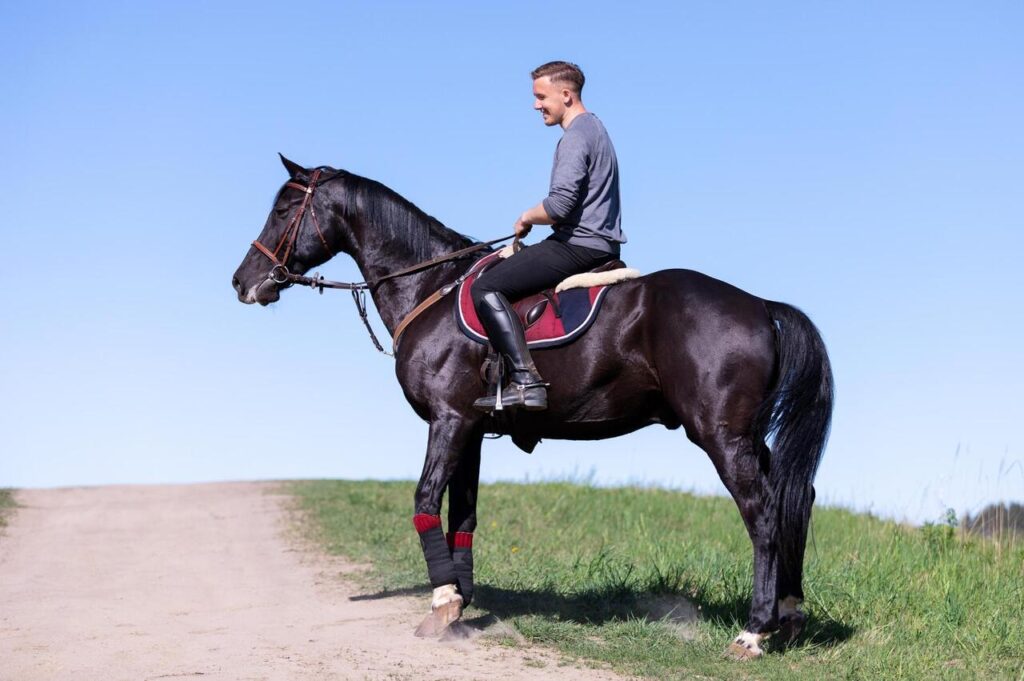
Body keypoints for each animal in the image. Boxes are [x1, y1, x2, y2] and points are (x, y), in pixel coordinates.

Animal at [231, 155, 834, 660]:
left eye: (283, 207)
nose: (243, 282)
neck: (430, 285)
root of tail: (759, 306)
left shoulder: (448, 421)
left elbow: (425, 500)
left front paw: (440, 604)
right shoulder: (472, 428)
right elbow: (463, 514)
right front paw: (458, 602)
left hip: (721, 434)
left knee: (762, 512)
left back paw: (753, 632)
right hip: (748, 436)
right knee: (793, 499)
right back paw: (789, 615)